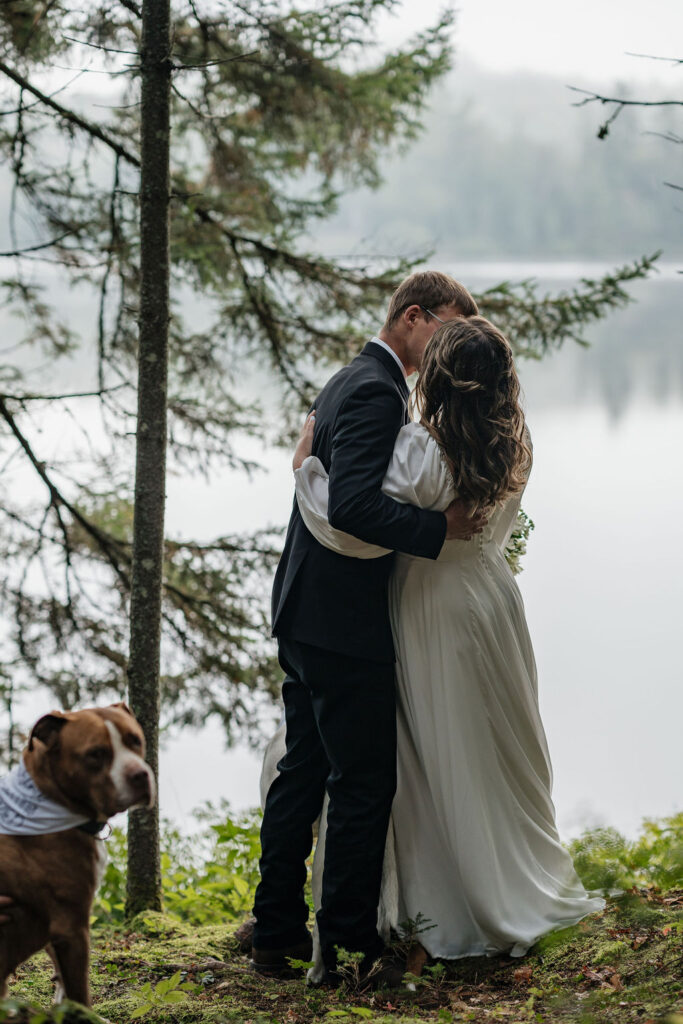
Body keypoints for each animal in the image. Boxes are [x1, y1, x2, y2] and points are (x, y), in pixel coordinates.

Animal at [0, 708, 154, 1003]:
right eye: (95, 753)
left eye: (135, 740)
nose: (140, 774)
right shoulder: (72, 926)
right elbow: (80, 992)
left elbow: (63, 983)